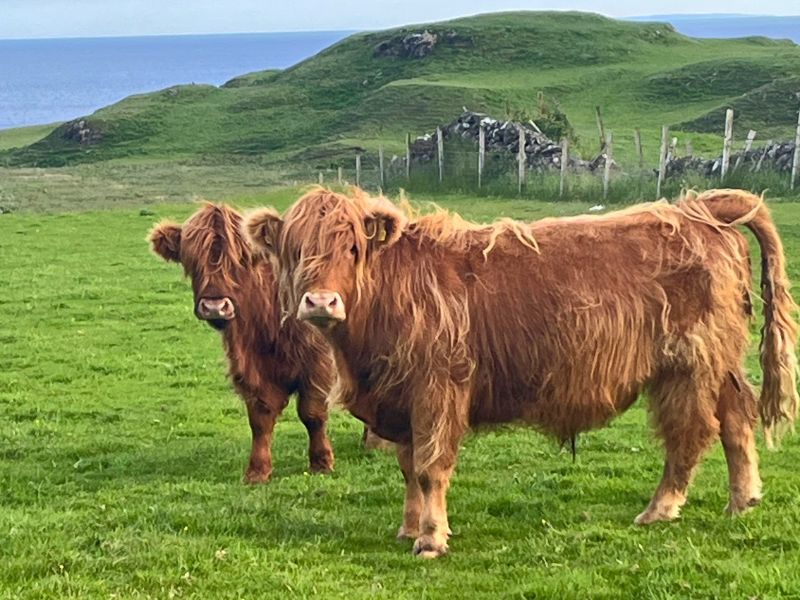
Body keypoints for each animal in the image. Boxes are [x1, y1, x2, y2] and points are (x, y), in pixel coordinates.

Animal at [148, 202, 335, 483]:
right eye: (191, 259)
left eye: (241, 260)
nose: (214, 306)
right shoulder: (251, 370)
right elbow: (259, 419)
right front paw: (258, 471)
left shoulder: (318, 364)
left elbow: (312, 413)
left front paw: (321, 463)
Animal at [244, 188, 798, 558]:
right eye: (294, 250)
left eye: (352, 248)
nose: (320, 302)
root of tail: (697, 208)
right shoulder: (402, 399)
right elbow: (408, 466)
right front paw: (409, 527)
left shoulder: (438, 389)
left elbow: (429, 467)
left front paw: (431, 538)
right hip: (719, 362)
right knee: (737, 418)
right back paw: (743, 499)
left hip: (688, 364)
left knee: (692, 433)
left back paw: (660, 508)